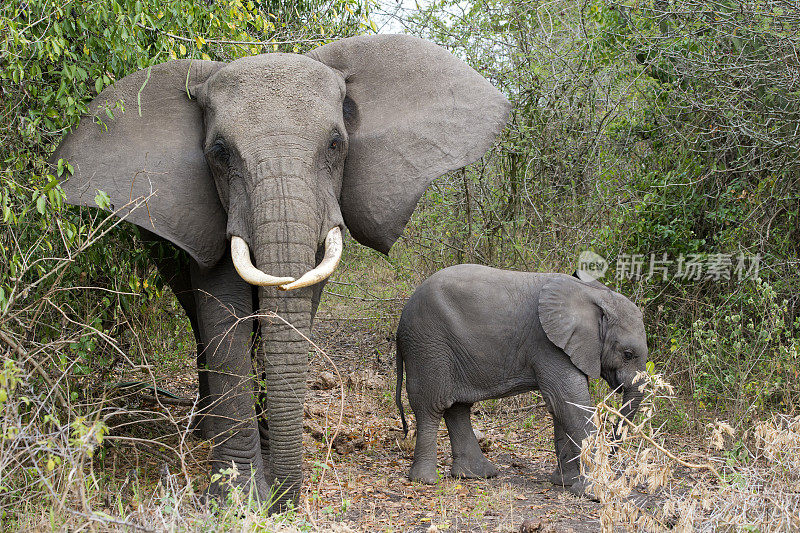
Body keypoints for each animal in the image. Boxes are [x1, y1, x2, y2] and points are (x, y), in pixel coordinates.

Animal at [53, 35, 510, 510]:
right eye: (219, 153)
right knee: (196, 318)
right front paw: (239, 499)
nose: (285, 499)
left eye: (335, 145)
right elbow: (224, 315)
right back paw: (205, 431)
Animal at [396, 266, 648, 494]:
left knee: (457, 407)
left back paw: (477, 474)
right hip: (427, 345)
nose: (613, 453)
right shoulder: (548, 344)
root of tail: (401, 321)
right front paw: (594, 491)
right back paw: (426, 481)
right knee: (431, 406)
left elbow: (561, 405)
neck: (593, 293)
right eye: (628, 354)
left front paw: (565, 483)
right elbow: (568, 402)